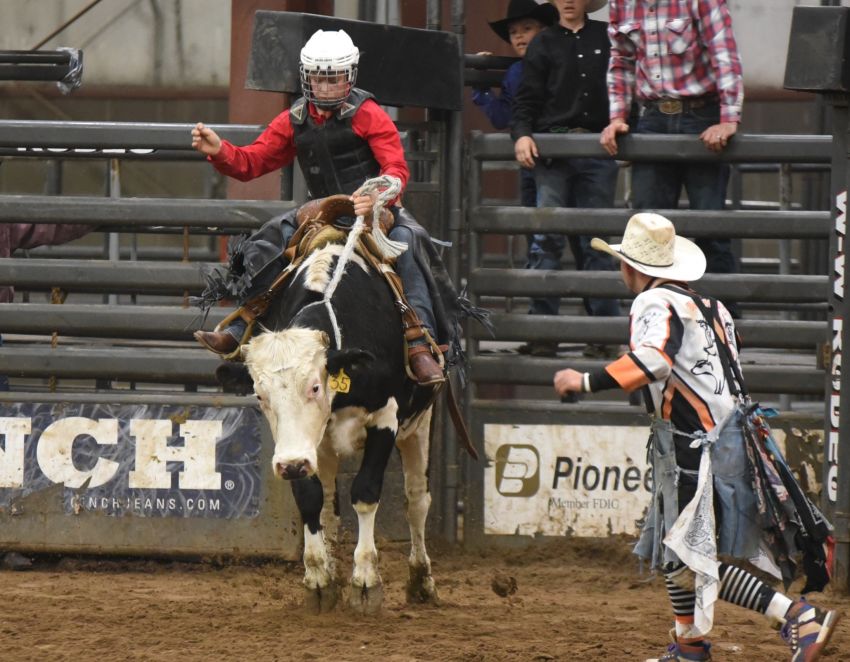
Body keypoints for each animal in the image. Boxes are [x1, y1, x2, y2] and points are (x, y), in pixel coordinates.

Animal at [238, 240, 438, 616]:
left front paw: (365, 582)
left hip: (419, 425)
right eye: (260, 394)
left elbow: (365, 492)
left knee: (417, 500)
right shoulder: (301, 446)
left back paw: (422, 582)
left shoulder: (385, 419)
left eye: (315, 386)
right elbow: (310, 499)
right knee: (329, 503)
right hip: (322, 448)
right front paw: (319, 581)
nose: (291, 465)